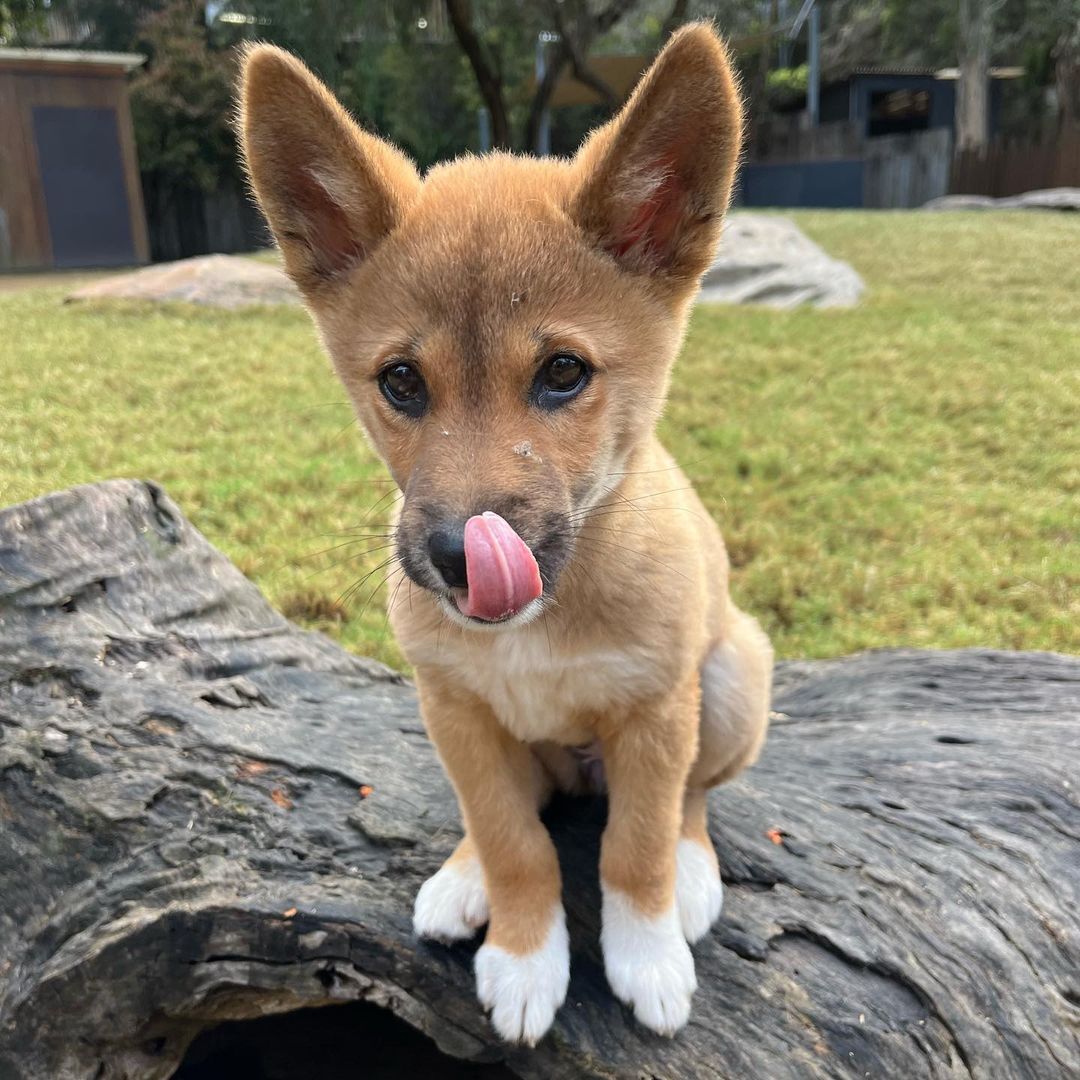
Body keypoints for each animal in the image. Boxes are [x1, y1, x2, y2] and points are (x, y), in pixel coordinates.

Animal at [240, 21, 773, 1041]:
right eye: (401, 381)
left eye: (563, 373)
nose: (459, 558)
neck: (543, 625)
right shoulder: (455, 710)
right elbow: (513, 838)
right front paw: (525, 954)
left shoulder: (656, 713)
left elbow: (635, 845)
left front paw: (646, 955)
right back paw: (462, 877)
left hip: (733, 673)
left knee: (694, 798)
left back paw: (691, 874)